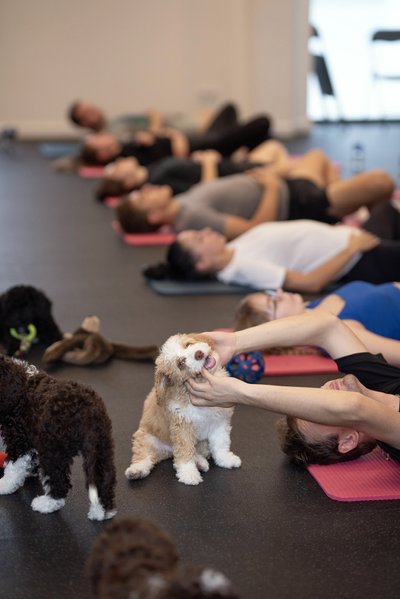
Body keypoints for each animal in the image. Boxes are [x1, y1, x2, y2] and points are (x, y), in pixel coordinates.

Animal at [0, 356, 116, 520]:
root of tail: (88, 410)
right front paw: (29, 471)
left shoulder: (19, 438)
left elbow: (14, 465)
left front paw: (5, 484)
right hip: (101, 445)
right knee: (103, 477)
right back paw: (101, 512)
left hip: (53, 448)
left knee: (59, 480)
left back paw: (47, 503)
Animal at [125, 332, 241, 488]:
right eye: (181, 363)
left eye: (188, 344)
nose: (199, 354)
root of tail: (168, 451)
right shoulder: (181, 427)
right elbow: (185, 451)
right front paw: (188, 473)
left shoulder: (219, 422)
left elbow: (221, 443)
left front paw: (226, 459)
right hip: (145, 437)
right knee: (145, 455)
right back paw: (136, 470)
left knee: (195, 452)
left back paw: (201, 463)